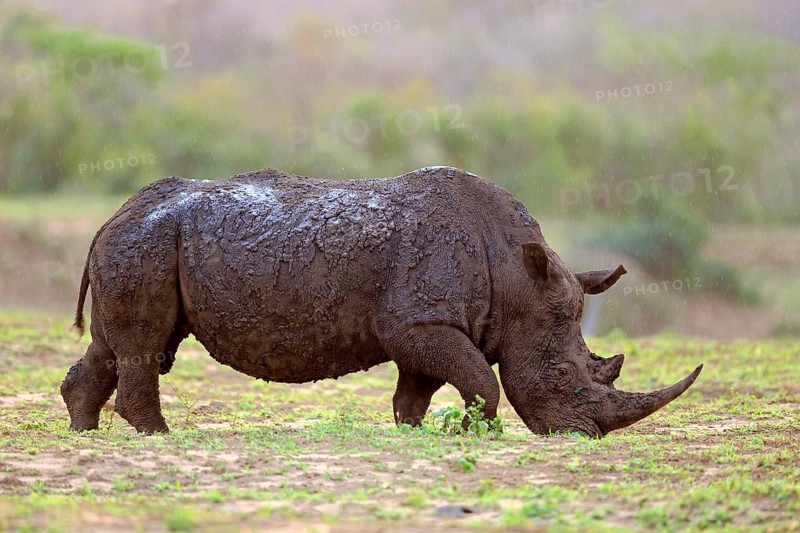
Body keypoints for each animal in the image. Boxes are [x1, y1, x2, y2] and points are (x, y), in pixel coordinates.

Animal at [61, 166, 702, 436]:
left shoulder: (428, 322)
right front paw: (475, 432)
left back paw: (84, 431)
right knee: (145, 348)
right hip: (145, 244)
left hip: (143, 244)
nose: (587, 436)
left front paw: (411, 431)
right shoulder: (420, 321)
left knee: (119, 346)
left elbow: (419, 386)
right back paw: (156, 436)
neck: (519, 278)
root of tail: (111, 216)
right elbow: (479, 377)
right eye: (567, 377)